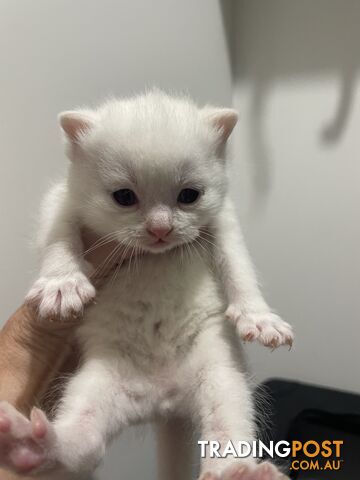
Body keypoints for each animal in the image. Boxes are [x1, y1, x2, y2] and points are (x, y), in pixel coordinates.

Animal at [0, 91, 292, 480]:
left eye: (189, 195)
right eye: (124, 197)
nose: (160, 229)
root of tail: (163, 402)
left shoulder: (223, 219)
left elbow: (238, 264)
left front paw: (259, 317)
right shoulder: (62, 199)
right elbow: (59, 236)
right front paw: (62, 284)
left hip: (222, 378)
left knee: (225, 435)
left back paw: (241, 472)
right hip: (97, 385)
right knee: (83, 445)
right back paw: (30, 444)